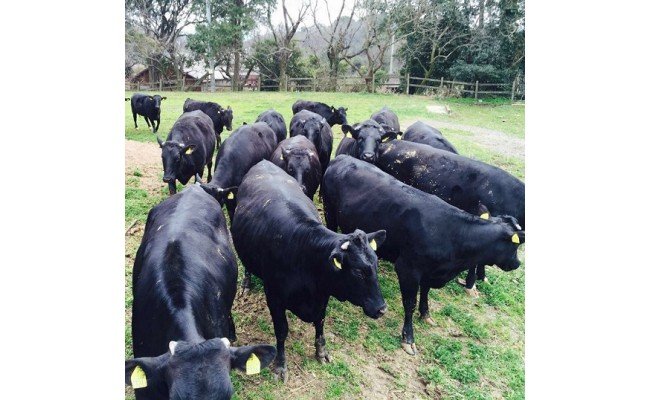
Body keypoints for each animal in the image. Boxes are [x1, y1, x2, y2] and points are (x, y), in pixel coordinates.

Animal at [232, 159, 388, 382]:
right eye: (358, 272)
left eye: (375, 264)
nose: (382, 309)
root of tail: (264, 162)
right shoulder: (274, 297)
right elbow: (281, 330)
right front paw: (280, 365)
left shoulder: (322, 296)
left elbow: (320, 322)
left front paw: (321, 352)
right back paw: (246, 284)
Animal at [322, 156, 524, 356]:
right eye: (515, 245)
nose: (517, 263)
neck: (451, 233)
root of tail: (342, 158)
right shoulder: (407, 269)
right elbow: (409, 302)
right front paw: (408, 338)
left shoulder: (430, 271)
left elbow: (425, 292)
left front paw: (426, 314)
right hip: (329, 213)